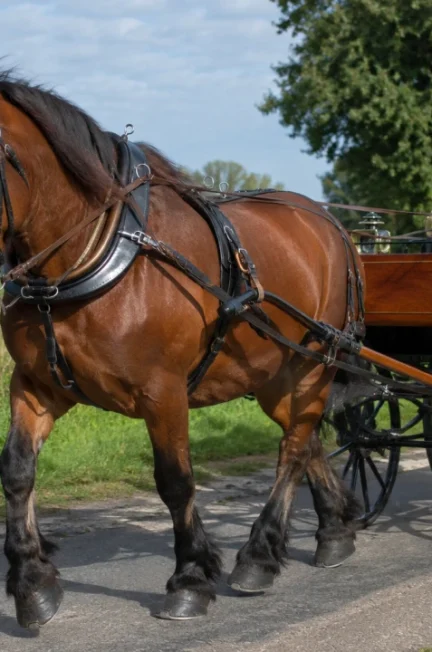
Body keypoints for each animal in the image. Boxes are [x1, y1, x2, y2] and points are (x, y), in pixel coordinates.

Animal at [0, 70, 362, 629]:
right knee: (305, 439)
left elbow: (176, 482)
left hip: (315, 361)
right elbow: (17, 472)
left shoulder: (163, 392)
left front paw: (190, 578)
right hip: (273, 375)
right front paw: (31, 583)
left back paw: (259, 555)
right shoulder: (37, 384)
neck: (94, 253)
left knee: (293, 448)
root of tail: (329, 221)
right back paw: (334, 530)